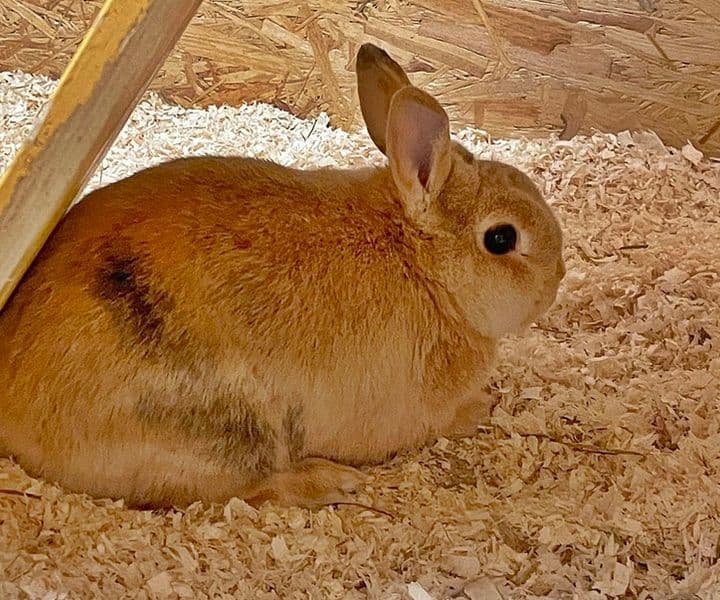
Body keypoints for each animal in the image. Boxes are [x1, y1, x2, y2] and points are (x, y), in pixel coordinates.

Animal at [0, 43, 565, 509]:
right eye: (501, 239)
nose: (558, 275)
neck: (422, 266)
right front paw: (481, 406)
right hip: (229, 431)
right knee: (249, 487)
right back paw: (328, 482)